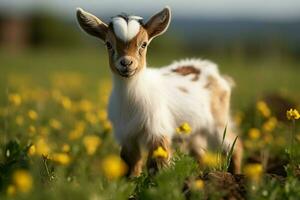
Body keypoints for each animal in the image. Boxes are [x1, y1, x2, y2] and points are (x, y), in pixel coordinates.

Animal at [76, 6, 243, 177]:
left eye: (143, 44)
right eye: (108, 44)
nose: (126, 63)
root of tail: (214, 72)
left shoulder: (158, 130)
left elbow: (157, 164)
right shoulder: (127, 136)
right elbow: (131, 164)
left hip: (219, 121)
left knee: (233, 146)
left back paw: (235, 173)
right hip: (194, 129)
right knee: (199, 153)